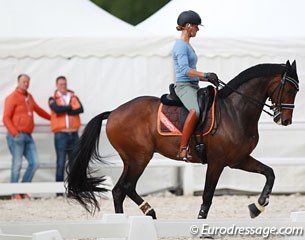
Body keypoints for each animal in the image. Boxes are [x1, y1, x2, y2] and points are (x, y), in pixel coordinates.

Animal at [66, 60, 296, 219]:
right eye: (290, 88)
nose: (285, 120)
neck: (236, 111)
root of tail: (113, 112)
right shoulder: (217, 162)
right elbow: (207, 195)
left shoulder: (238, 159)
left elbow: (270, 173)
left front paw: (257, 207)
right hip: (140, 157)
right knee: (126, 187)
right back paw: (147, 212)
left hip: (132, 159)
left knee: (119, 190)